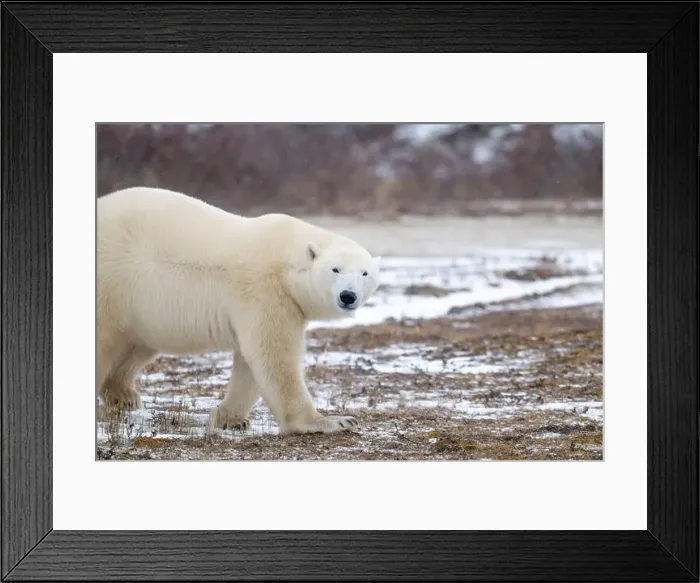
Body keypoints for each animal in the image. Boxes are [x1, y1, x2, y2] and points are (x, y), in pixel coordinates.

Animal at [97, 186, 381, 434]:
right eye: (335, 269)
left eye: (365, 273)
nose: (348, 296)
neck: (286, 261)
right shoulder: (266, 291)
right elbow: (275, 356)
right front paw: (333, 421)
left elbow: (250, 362)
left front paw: (230, 419)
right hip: (114, 281)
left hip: (143, 308)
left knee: (138, 343)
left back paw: (124, 395)